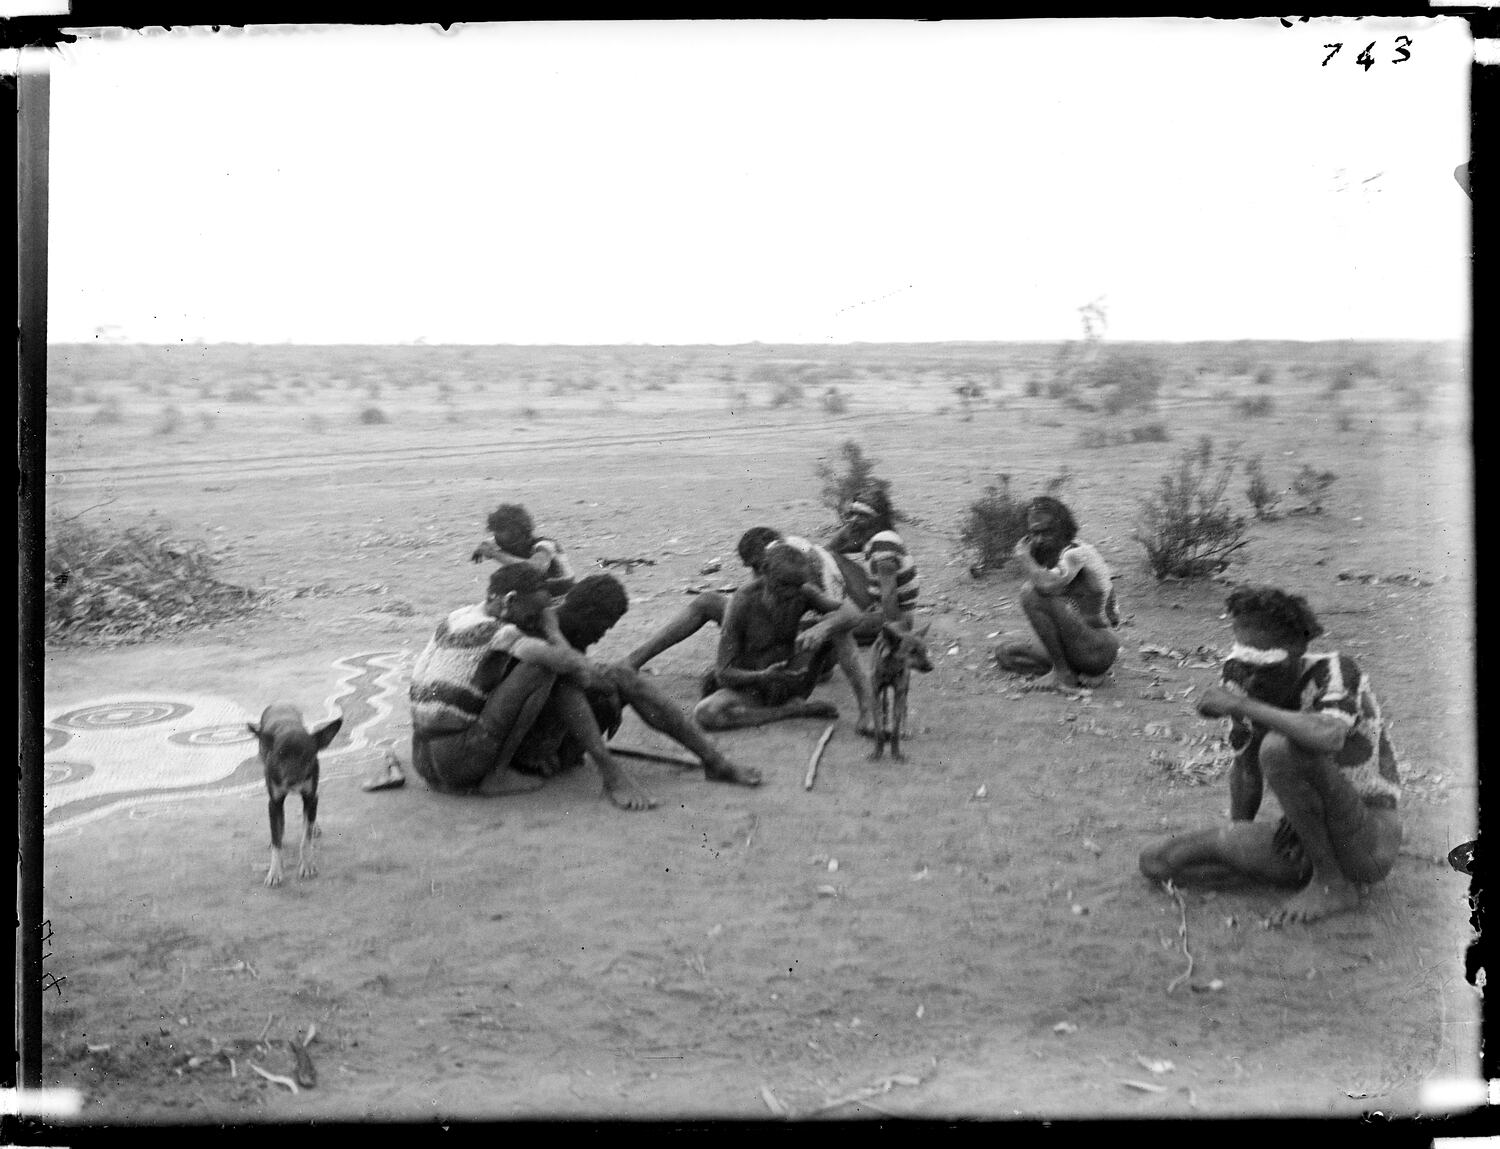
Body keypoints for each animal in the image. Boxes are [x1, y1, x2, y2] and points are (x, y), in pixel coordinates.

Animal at [247, 702, 343, 888]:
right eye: (280, 755)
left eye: (307, 755)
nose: (291, 782)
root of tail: (279, 703)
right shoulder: (274, 802)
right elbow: (277, 841)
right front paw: (275, 872)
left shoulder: (310, 796)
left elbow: (305, 838)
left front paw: (307, 864)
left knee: (310, 817)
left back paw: (314, 826)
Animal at [870, 621, 924, 765]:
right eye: (912, 651)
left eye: (925, 650)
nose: (930, 666)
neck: (890, 669)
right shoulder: (875, 692)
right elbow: (878, 728)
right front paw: (877, 752)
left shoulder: (899, 691)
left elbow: (895, 730)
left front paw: (896, 754)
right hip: (884, 691)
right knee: (885, 705)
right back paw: (885, 724)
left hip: (905, 686)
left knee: (905, 706)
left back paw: (905, 731)